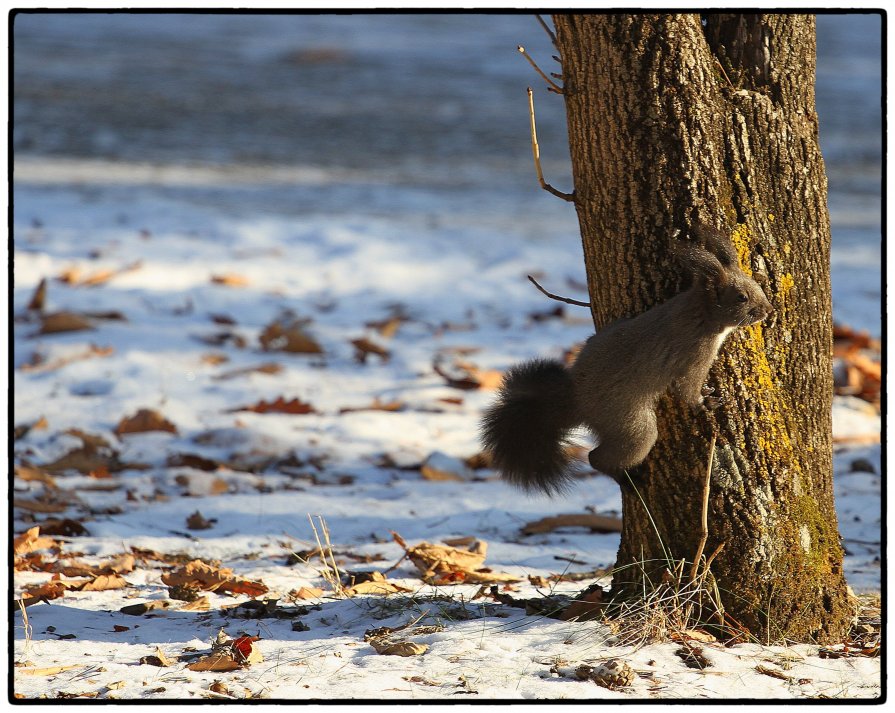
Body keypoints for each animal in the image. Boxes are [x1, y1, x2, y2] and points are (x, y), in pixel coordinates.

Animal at [480, 225, 772, 492]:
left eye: (757, 285)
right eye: (742, 297)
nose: (768, 310)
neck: (701, 311)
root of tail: (577, 401)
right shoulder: (694, 354)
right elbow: (686, 389)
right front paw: (706, 402)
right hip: (630, 424)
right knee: (600, 457)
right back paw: (627, 479)